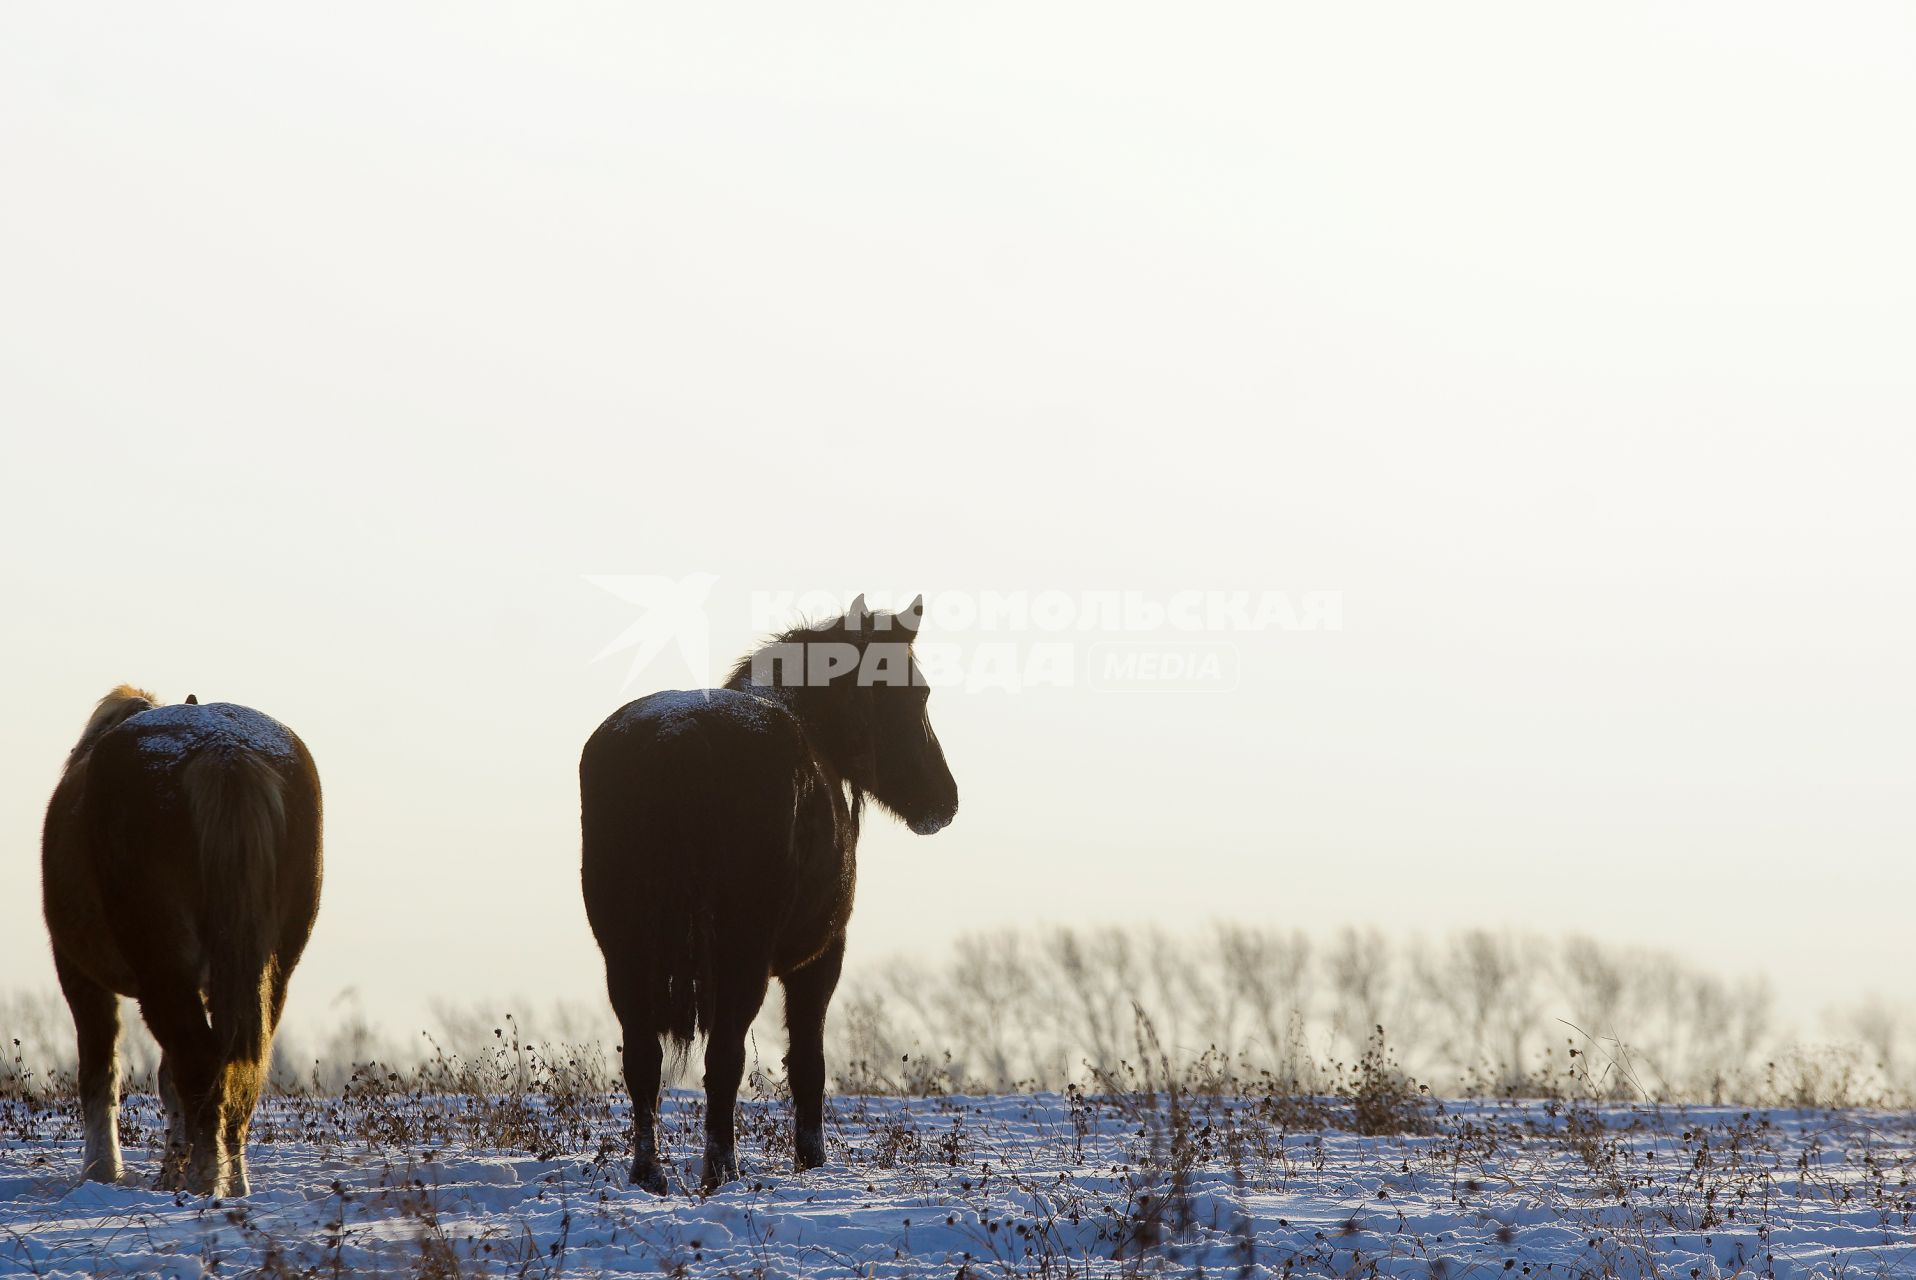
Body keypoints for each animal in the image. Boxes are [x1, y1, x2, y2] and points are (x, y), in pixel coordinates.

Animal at [41, 685, 323, 1195]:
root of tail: (223, 750)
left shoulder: (77, 972)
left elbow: (99, 1072)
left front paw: (102, 1171)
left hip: (162, 969)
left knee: (196, 1062)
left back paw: (204, 1179)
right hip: (268, 972)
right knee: (231, 1070)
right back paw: (228, 1179)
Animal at [574, 594, 950, 1195]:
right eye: (917, 693)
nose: (944, 800)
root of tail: (679, 742)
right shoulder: (821, 957)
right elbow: (807, 1062)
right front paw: (811, 1159)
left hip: (625, 955)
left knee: (642, 1061)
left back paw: (649, 1174)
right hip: (740, 955)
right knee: (723, 1060)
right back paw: (720, 1170)